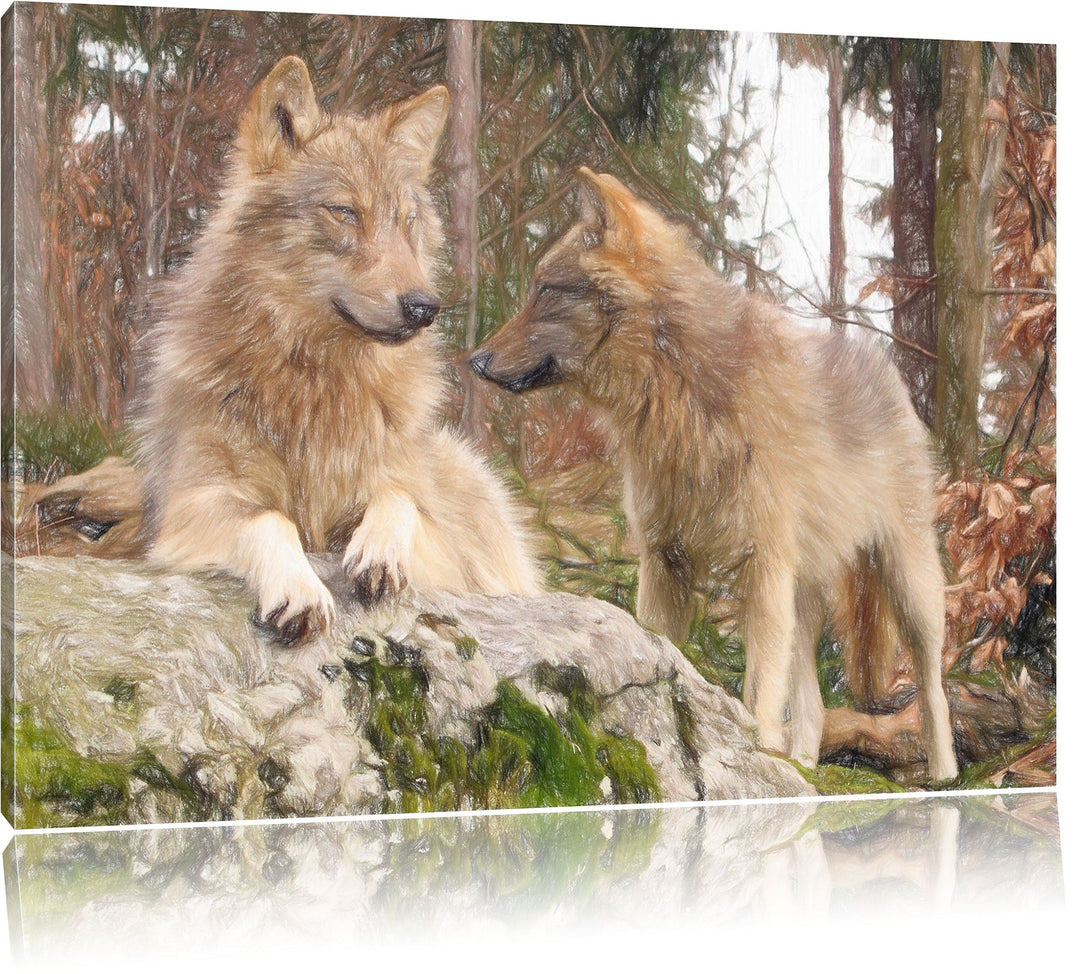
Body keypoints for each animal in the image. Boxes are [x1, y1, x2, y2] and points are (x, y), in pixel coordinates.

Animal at [131, 56, 539, 644]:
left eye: (406, 220)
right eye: (344, 212)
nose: (425, 307)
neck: (318, 379)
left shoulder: (444, 549)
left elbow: (398, 498)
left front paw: (378, 553)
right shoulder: (190, 507)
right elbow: (270, 519)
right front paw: (299, 589)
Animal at [471, 168, 958, 780]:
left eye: (546, 290)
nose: (474, 360)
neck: (681, 395)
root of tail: (886, 368)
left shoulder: (762, 569)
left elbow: (759, 691)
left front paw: (757, 757)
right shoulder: (665, 561)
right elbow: (666, 655)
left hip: (907, 586)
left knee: (933, 688)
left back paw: (944, 778)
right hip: (803, 600)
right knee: (814, 706)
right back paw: (803, 771)